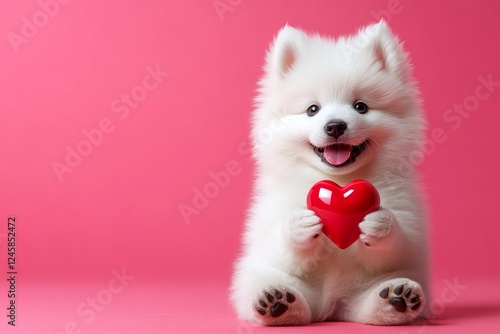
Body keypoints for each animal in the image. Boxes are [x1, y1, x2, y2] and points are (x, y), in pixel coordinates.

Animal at [230, 21, 430, 326]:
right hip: (259, 276)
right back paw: (276, 301)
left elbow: (398, 245)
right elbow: (279, 246)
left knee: (372, 300)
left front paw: (380, 223)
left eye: (361, 106)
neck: (339, 180)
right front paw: (300, 223)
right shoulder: (268, 221)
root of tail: (334, 304)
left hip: (391, 280)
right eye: (313, 109)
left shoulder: (408, 218)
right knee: (283, 295)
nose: (335, 126)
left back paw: (397, 299)